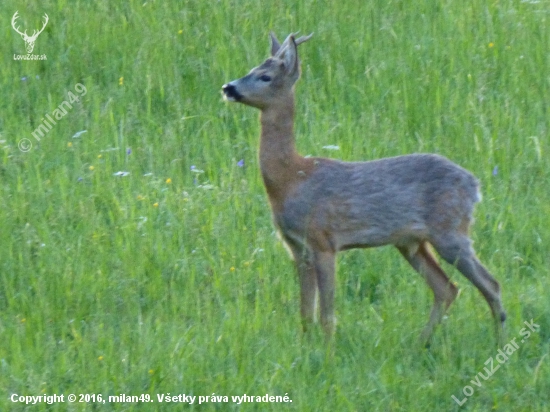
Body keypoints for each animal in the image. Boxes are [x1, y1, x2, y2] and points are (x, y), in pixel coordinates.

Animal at [222, 33, 506, 346]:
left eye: (265, 76)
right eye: (251, 68)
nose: (228, 87)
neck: (292, 178)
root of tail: (474, 184)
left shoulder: (323, 241)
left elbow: (326, 313)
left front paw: (327, 349)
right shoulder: (296, 247)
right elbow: (305, 313)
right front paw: (305, 346)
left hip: (450, 230)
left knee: (490, 283)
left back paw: (498, 341)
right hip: (411, 242)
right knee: (447, 288)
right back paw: (420, 343)